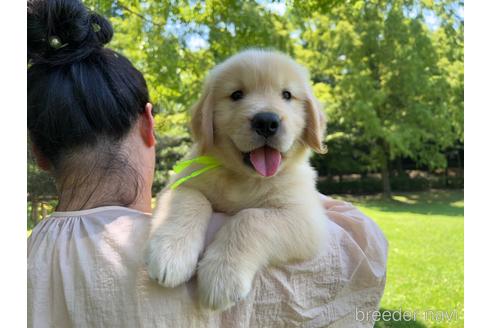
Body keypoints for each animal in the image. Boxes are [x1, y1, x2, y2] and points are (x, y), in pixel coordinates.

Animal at [146, 48, 330, 310]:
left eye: (286, 95)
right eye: (236, 95)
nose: (266, 121)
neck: (243, 177)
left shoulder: (305, 217)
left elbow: (249, 218)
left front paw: (222, 276)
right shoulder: (180, 185)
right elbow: (192, 201)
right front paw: (171, 254)